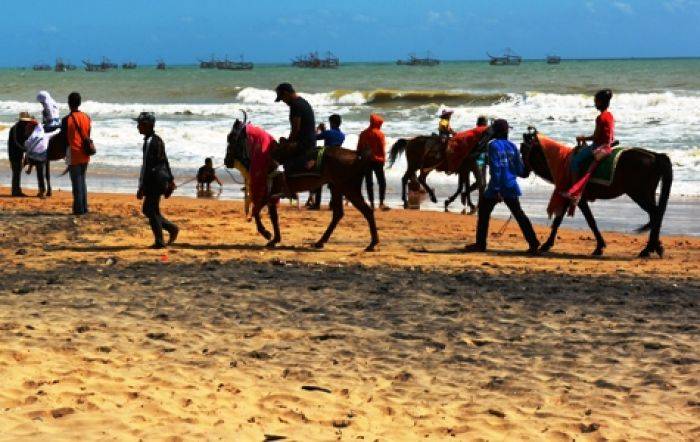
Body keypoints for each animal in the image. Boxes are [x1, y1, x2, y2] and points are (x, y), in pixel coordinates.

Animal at [224, 117, 380, 252]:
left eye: (231, 138)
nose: (226, 161)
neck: (266, 158)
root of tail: (357, 155)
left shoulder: (266, 195)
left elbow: (256, 211)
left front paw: (266, 233)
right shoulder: (272, 195)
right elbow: (273, 217)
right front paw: (275, 239)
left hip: (349, 188)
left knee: (367, 211)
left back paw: (372, 243)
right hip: (336, 187)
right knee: (338, 214)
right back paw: (321, 241)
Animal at [520, 126, 672, 258]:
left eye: (522, 150)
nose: (523, 172)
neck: (562, 161)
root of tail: (655, 155)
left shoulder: (578, 198)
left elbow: (590, 221)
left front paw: (599, 247)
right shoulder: (569, 197)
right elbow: (558, 220)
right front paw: (547, 244)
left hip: (639, 194)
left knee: (655, 214)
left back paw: (649, 249)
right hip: (648, 194)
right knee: (655, 215)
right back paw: (654, 247)